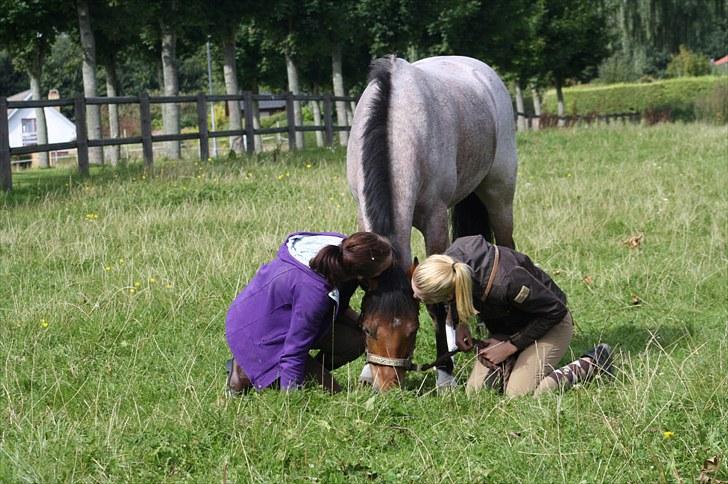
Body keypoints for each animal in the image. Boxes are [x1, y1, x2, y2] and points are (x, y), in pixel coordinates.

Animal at [346, 54, 516, 388]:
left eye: (412, 329)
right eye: (367, 328)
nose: (388, 386)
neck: (396, 123)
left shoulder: (434, 220)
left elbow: (437, 307)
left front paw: (445, 375)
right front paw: (366, 373)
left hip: (499, 196)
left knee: (505, 247)